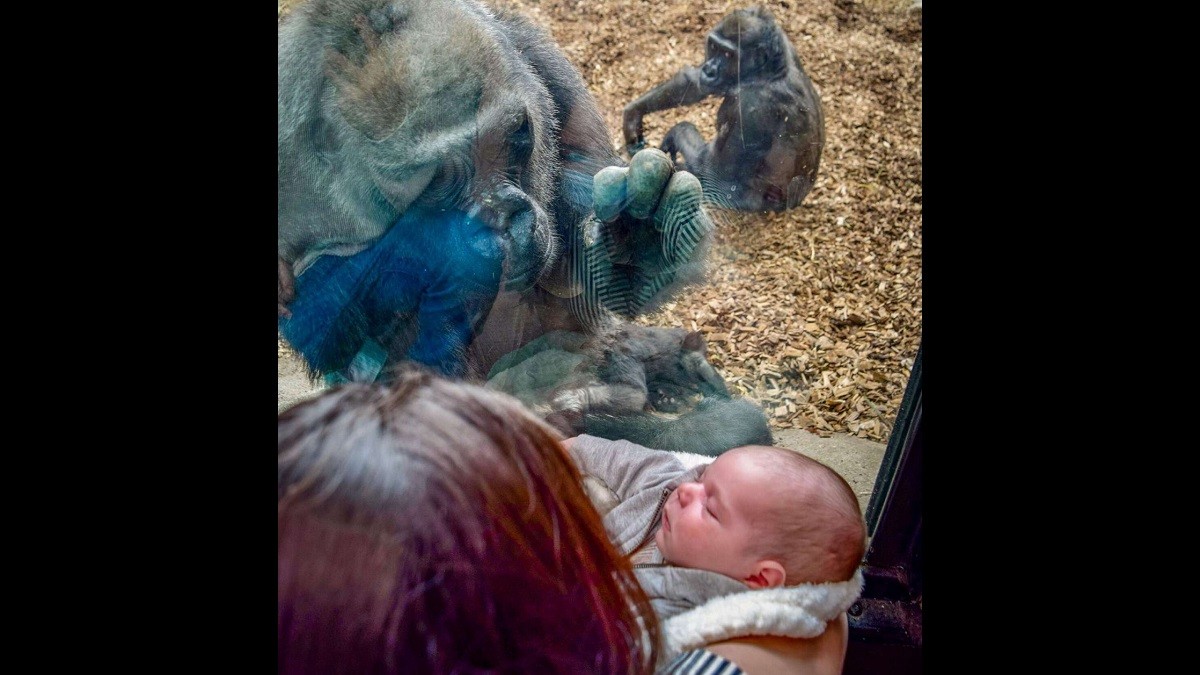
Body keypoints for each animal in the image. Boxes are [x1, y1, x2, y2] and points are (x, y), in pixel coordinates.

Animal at [278, 0, 717, 382]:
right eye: (434, 180)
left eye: (511, 136)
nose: (507, 221)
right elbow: (324, 323)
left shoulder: (530, 52)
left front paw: (637, 236)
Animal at [621, 5, 825, 213]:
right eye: (714, 47)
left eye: (728, 55)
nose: (709, 70)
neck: (768, 72)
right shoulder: (787, 45)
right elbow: (696, 85)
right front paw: (633, 114)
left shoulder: (750, 107)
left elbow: (713, 168)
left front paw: (676, 132)